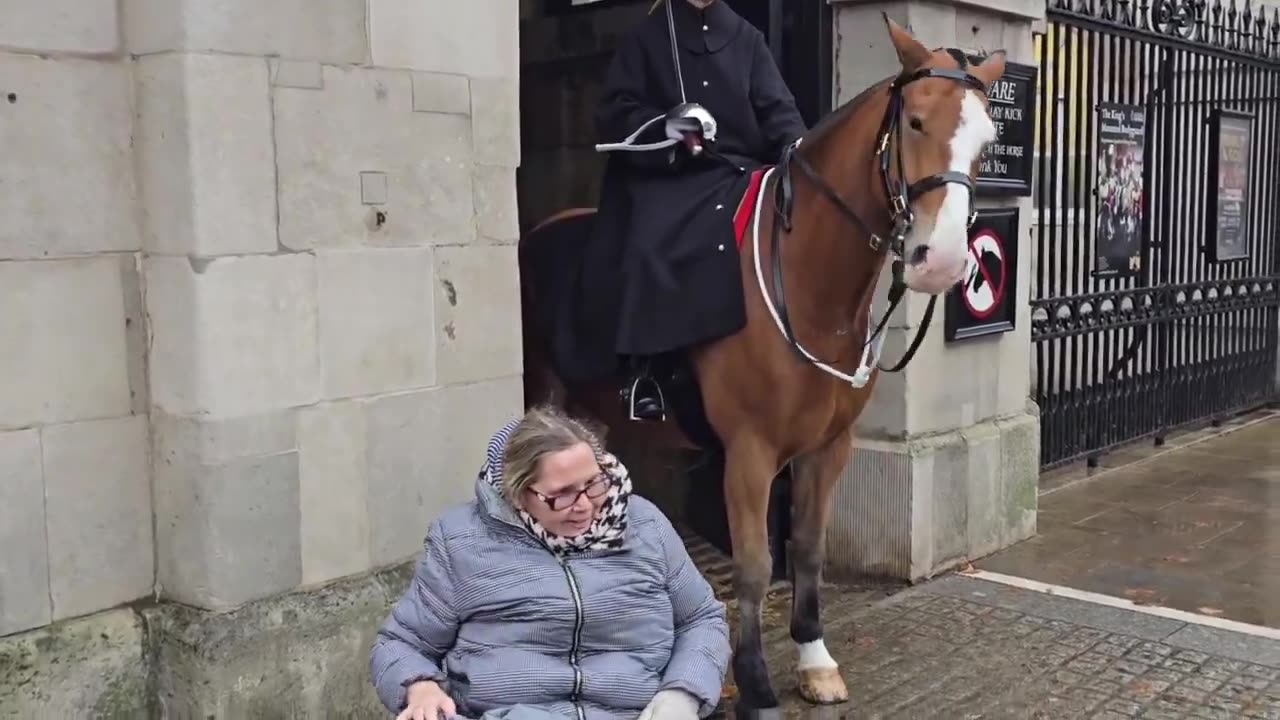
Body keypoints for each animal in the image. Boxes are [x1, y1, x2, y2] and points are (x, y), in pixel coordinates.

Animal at [514, 16, 1003, 712]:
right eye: (913, 121)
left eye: (988, 140)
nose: (941, 260)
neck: (809, 286)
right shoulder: (749, 450)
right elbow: (753, 563)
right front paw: (753, 682)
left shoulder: (827, 447)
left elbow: (808, 548)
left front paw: (815, 658)